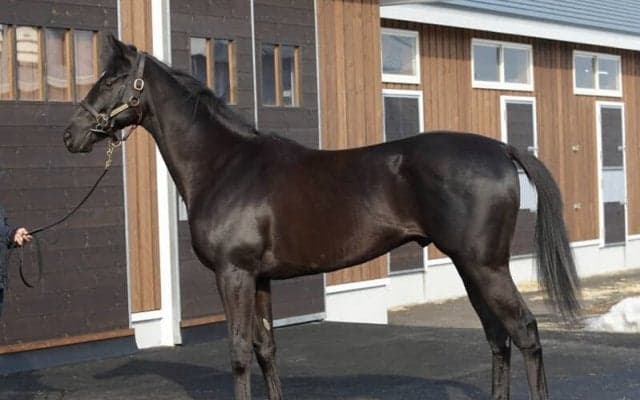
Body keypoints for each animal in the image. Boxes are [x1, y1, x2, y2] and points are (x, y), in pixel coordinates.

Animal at [63, 35, 580, 400]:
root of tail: (500, 148)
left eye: (109, 80)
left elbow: (238, 352)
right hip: (470, 267)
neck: (225, 164)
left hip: (485, 266)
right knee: (498, 338)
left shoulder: (234, 274)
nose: (71, 134)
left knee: (525, 332)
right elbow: (266, 350)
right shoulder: (261, 279)